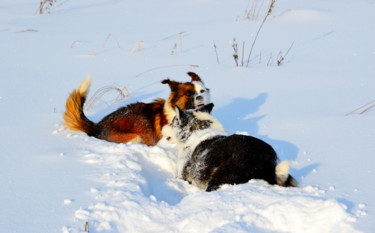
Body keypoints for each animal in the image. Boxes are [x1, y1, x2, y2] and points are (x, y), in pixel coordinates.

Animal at [163, 104, 298, 191]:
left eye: (172, 122)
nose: (162, 128)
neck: (199, 129)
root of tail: (266, 164)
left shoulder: (182, 176)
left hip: (220, 177)